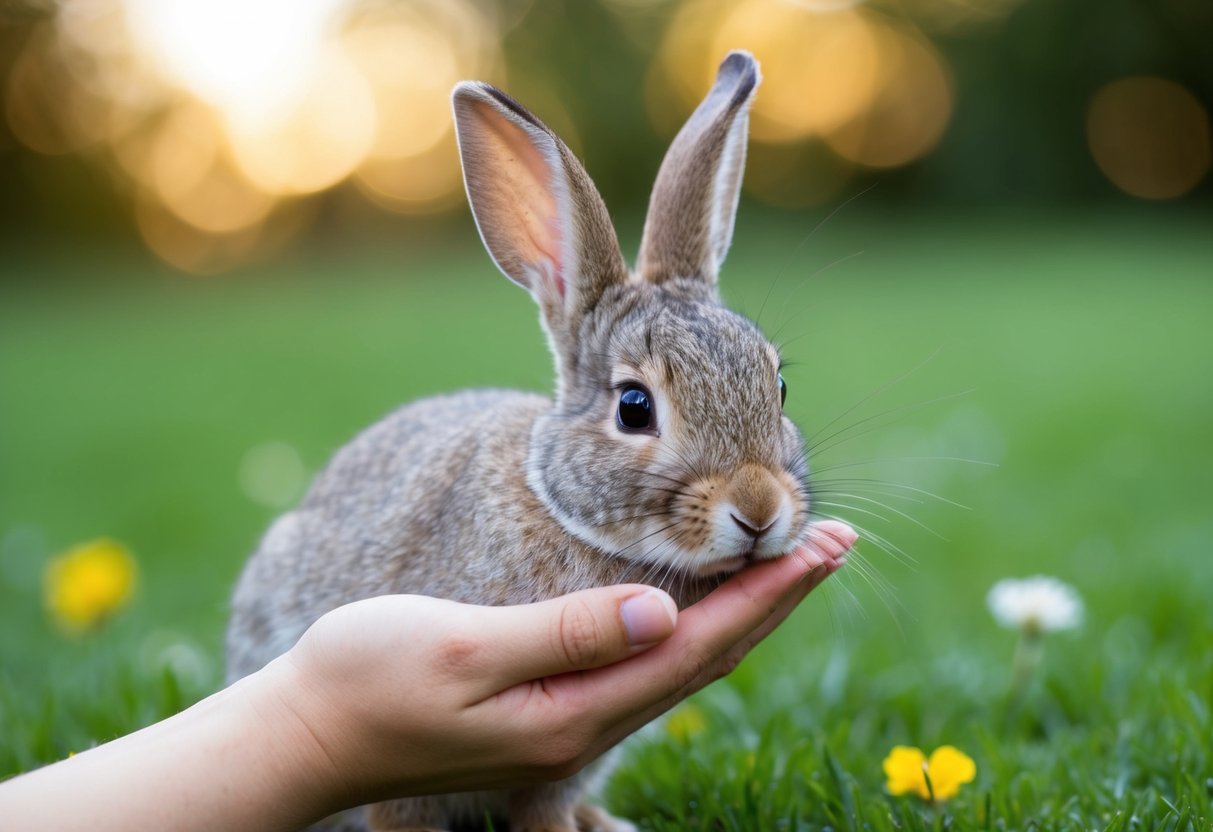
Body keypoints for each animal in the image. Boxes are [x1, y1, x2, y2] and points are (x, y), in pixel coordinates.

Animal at [227, 50, 814, 832]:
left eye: (777, 387)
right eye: (633, 408)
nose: (757, 511)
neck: (560, 507)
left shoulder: (563, 771)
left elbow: (544, 805)